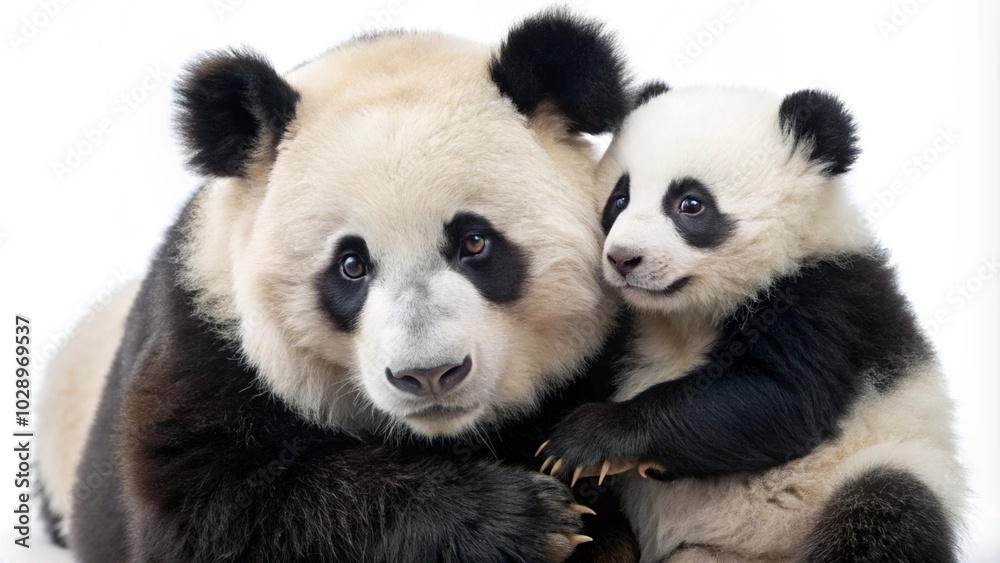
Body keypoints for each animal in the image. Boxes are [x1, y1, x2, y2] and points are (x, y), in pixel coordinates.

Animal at [36, 12, 646, 562]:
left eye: (474, 242)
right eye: (351, 265)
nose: (429, 374)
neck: (444, 436)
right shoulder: (206, 341)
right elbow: (221, 511)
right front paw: (522, 521)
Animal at [536, 84, 965, 562]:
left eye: (690, 204)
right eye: (620, 199)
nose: (623, 259)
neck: (685, 312)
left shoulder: (826, 303)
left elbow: (775, 397)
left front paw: (586, 439)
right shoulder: (624, 327)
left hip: (882, 463)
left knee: (886, 511)